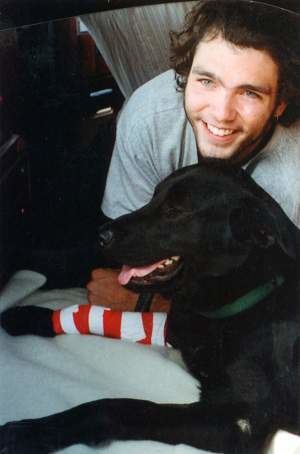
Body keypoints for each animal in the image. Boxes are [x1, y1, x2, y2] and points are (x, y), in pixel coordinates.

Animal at [0, 164, 300, 454]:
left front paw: (32, 431)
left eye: (176, 210)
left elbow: (117, 408)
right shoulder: (175, 330)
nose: (101, 235)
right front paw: (28, 315)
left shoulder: (238, 420)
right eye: (154, 196)